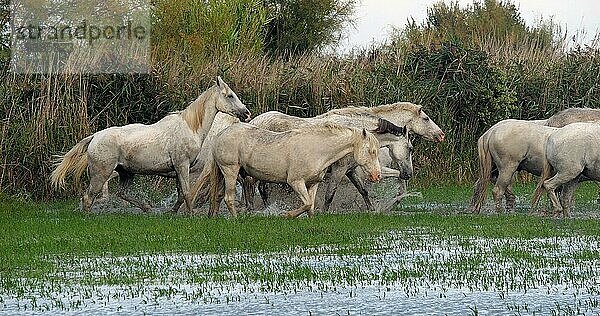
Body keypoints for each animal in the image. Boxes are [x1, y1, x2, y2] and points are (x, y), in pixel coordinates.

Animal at [48, 76, 251, 214]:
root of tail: (94, 137)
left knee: (120, 194)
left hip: (126, 174)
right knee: (88, 197)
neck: (190, 127)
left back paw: (146, 207)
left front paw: (172, 212)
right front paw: (191, 214)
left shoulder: (178, 170)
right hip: (101, 174)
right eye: (230, 96)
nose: (247, 113)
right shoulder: (183, 166)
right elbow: (187, 193)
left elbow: (181, 194)